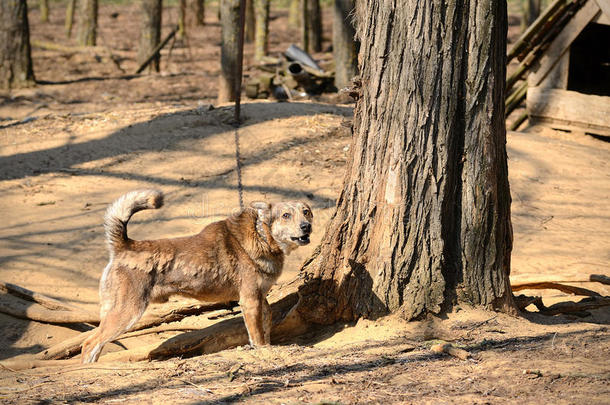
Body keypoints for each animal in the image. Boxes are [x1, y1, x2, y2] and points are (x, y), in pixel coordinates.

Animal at [81, 189, 312, 362]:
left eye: (307, 212)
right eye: (286, 215)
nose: (306, 227)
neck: (262, 236)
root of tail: (125, 245)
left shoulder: (260, 298)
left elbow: (266, 326)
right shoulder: (250, 301)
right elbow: (257, 335)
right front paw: (263, 351)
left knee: (96, 344)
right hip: (127, 312)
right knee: (89, 344)